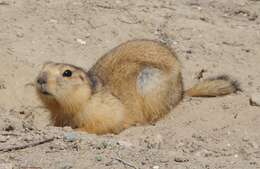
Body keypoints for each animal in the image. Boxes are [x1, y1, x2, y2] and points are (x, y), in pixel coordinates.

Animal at [35, 39, 239, 135]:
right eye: (43, 67)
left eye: (67, 73)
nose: (40, 79)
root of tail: (181, 90)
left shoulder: (104, 108)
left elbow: (105, 123)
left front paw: (78, 130)